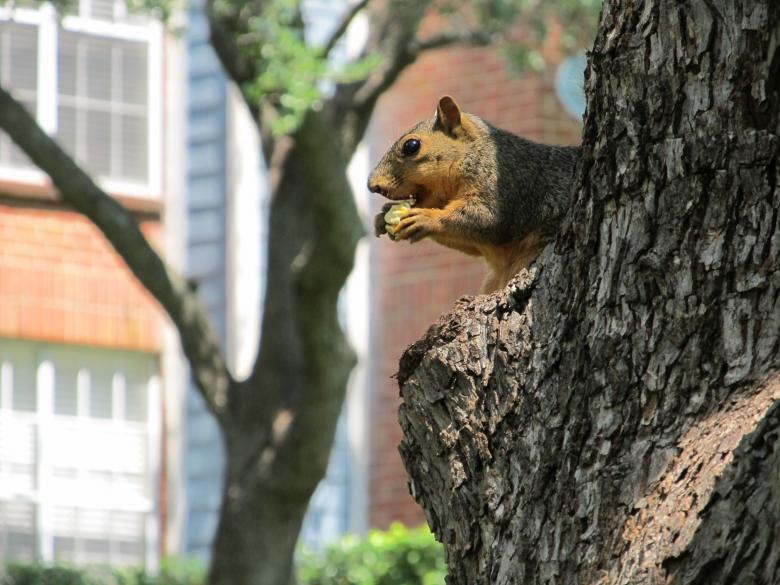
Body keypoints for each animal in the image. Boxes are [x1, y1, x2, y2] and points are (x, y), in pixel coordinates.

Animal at [368, 96, 580, 293]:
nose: (372, 186)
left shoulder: (505, 182)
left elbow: (488, 218)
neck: (472, 154)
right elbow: (471, 245)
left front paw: (426, 218)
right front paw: (382, 216)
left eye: (411, 146)